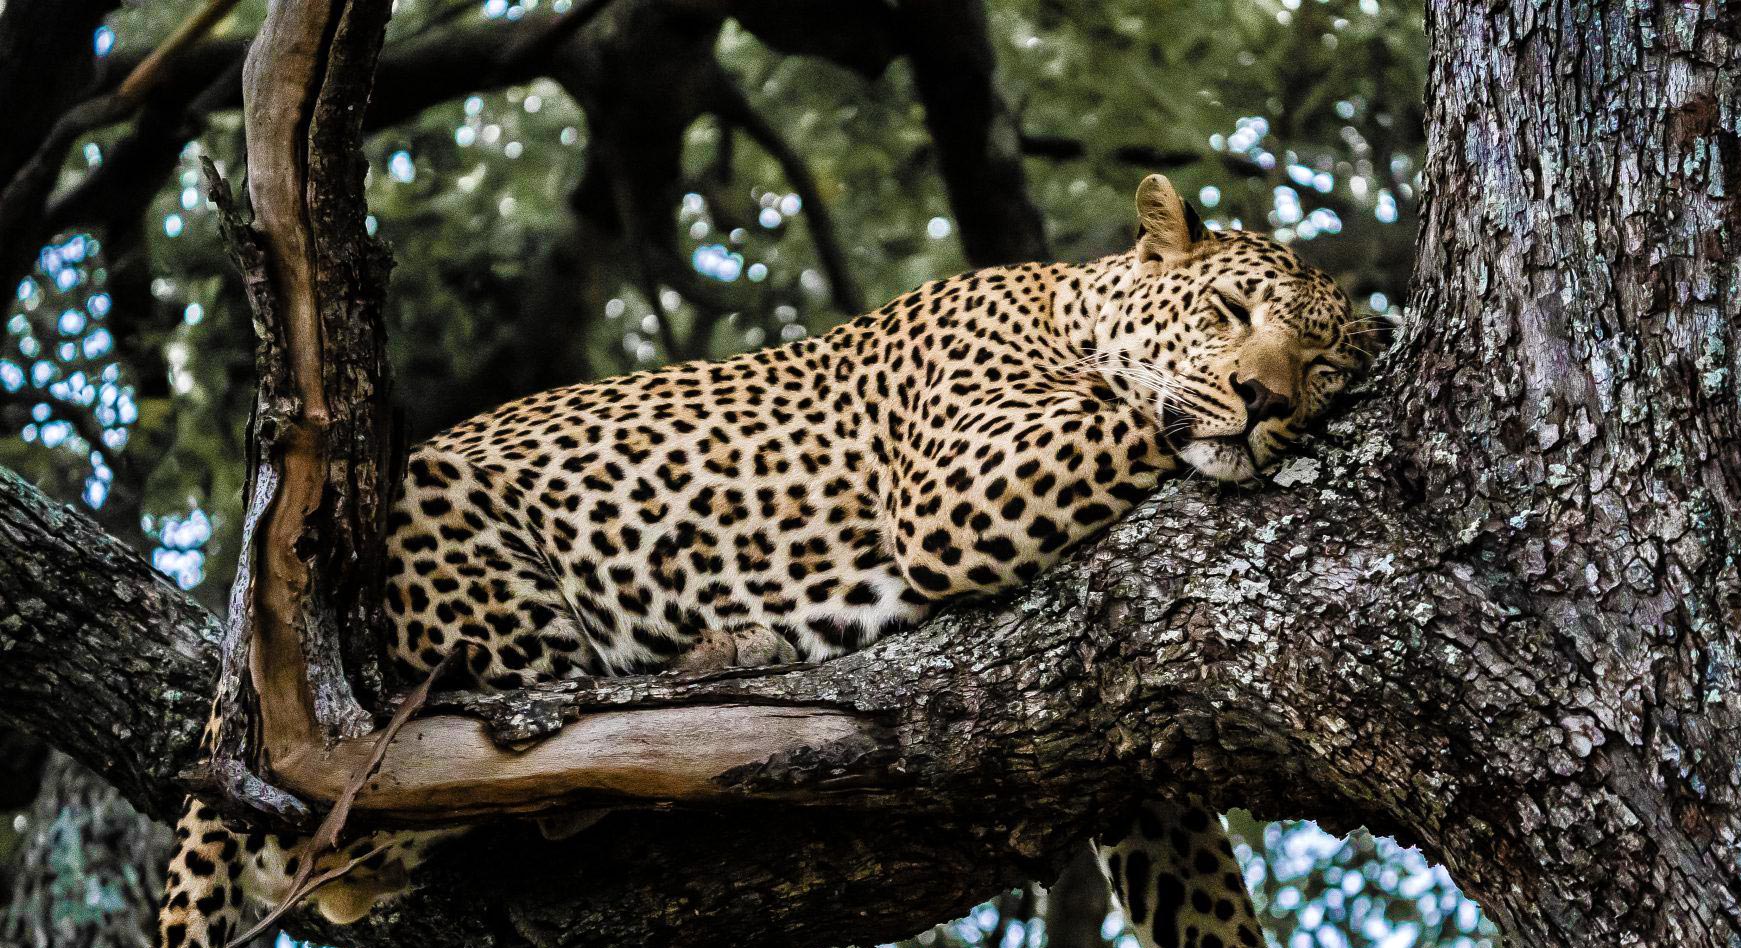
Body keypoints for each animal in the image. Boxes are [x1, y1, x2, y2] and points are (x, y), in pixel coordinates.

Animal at [160, 175, 1385, 946]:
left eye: (1322, 365)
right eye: (1226, 307)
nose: (1267, 400)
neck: (1065, 303)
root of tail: (232, 700)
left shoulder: (1134, 767)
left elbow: (1197, 888)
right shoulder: (958, 487)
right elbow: (1138, 411)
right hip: (454, 582)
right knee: (496, 787)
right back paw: (724, 658)